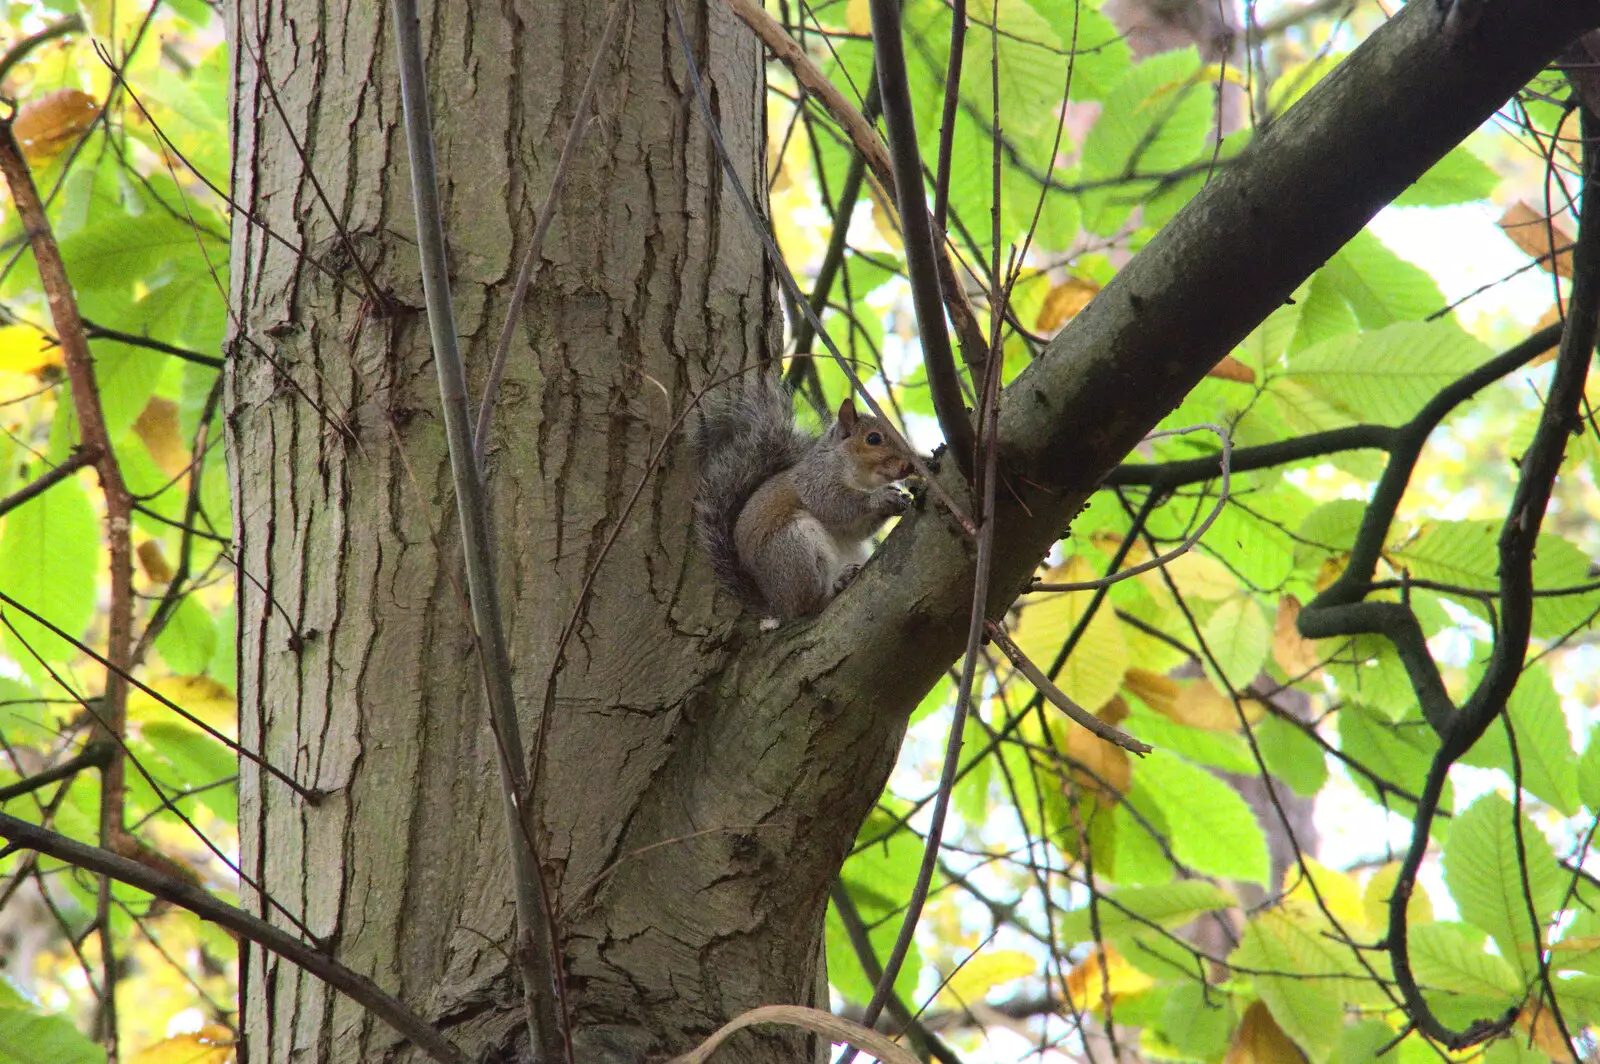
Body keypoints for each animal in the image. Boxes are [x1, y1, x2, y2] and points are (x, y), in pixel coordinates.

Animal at [697, 376, 921, 617]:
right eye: (873, 438)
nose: (909, 466)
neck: (861, 479)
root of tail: (775, 605)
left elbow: (856, 530)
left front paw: (899, 502)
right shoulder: (815, 481)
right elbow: (835, 503)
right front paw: (879, 498)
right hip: (794, 547)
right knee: (808, 605)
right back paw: (836, 585)